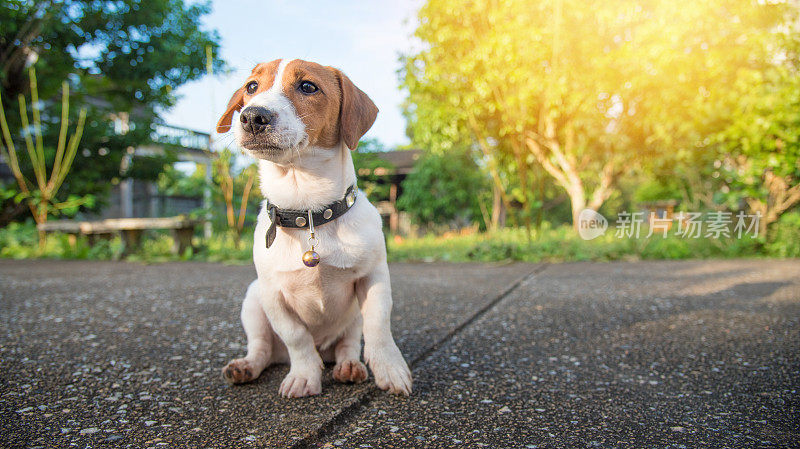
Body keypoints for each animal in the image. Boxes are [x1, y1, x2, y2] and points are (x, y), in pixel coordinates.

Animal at [214, 58, 412, 396]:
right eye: (251, 87)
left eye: (308, 86)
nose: (252, 116)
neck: (308, 210)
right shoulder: (272, 294)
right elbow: (297, 337)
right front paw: (305, 375)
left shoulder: (373, 279)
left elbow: (378, 327)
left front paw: (390, 368)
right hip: (253, 302)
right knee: (263, 348)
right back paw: (246, 366)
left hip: (350, 319)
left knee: (348, 343)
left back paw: (349, 366)